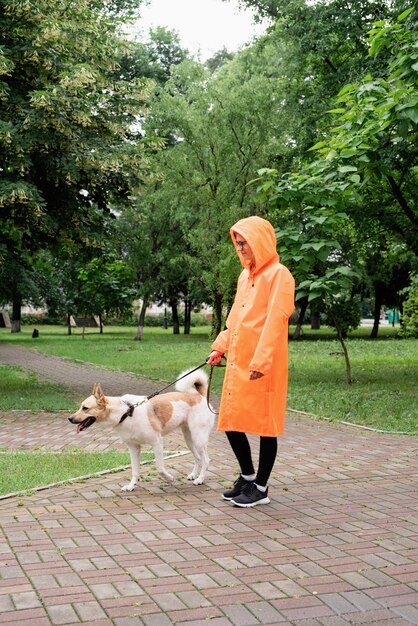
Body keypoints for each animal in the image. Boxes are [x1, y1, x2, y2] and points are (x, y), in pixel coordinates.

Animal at [68, 368, 216, 490]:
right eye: (80, 407)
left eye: (85, 408)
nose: (69, 418)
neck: (125, 412)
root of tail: (200, 396)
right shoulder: (133, 448)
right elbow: (135, 470)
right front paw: (131, 486)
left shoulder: (157, 443)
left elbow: (160, 468)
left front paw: (169, 478)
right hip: (189, 439)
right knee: (198, 458)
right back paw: (193, 475)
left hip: (198, 439)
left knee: (206, 460)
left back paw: (200, 479)